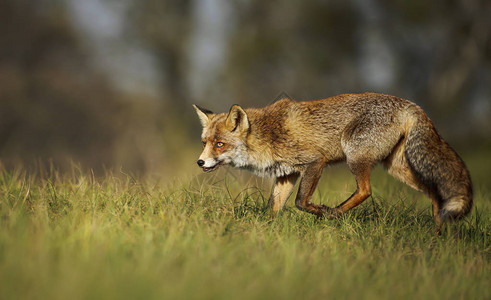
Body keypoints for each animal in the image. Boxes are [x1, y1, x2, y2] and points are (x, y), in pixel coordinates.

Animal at [194, 92, 474, 233]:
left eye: (220, 145)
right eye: (205, 142)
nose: (200, 162)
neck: (267, 135)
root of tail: (410, 104)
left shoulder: (314, 160)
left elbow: (301, 202)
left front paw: (320, 212)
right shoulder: (286, 174)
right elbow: (273, 208)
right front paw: (266, 232)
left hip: (354, 152)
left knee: (365, 190)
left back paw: (335, 213)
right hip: (397, 167)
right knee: (435, 193)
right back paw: (438, 234)